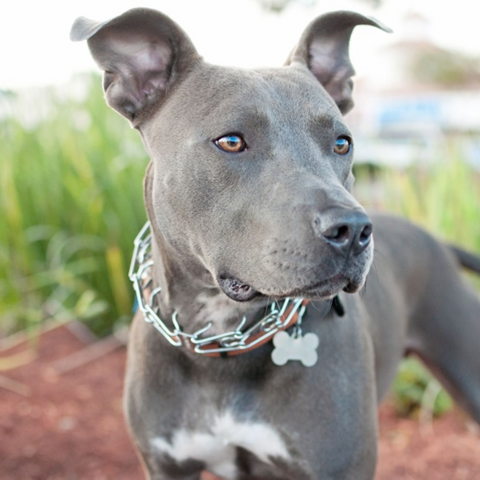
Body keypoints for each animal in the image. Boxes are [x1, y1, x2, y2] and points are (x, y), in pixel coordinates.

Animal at [72, 9, 480, 480]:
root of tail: (438, 241)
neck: (222, 340)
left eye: (342, 142)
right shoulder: (166, 466)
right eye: (231, 141)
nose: (353, 229)